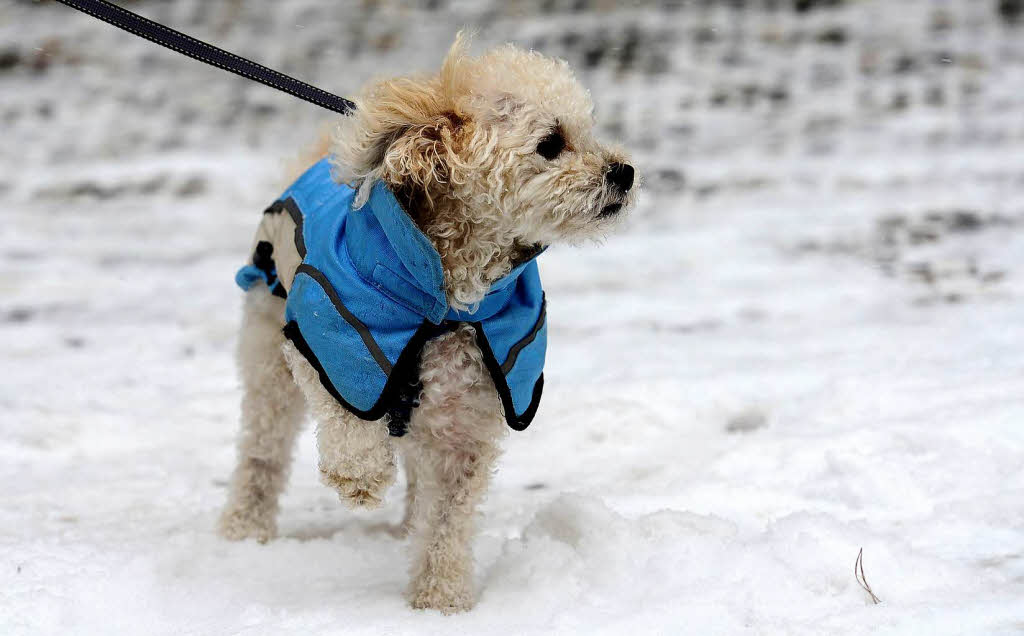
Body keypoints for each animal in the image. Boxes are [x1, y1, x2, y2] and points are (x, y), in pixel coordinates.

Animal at [218, 33, 630, 610]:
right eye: (551, 143)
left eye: (589, 130)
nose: (625, 172)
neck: (448, 306)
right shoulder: (324, 337)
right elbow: (346, 410)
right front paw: (361, 474)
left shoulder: (469, 416)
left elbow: (448, 520)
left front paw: (441, 600)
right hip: (267, 357)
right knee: (262, 451)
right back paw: (244, 530)